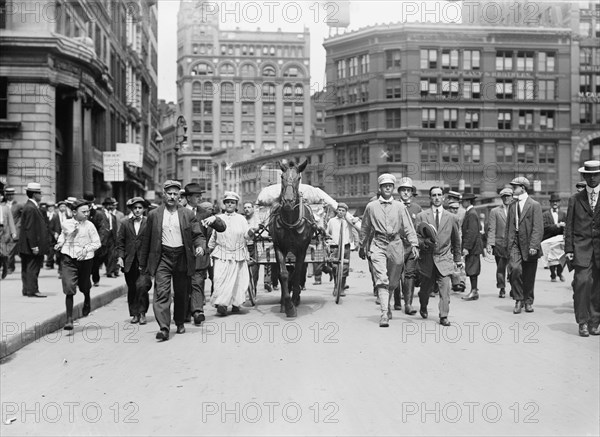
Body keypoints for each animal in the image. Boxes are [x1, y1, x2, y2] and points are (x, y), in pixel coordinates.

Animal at [270, 158, 318, 316]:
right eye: (281, 177)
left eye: (298, 178)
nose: (288, 201)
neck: (291, 221)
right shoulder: (279, 246)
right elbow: (284, 274)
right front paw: (287, 305)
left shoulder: (302, 249)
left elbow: (297, 273)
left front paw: (294, 300)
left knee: (299, 271)